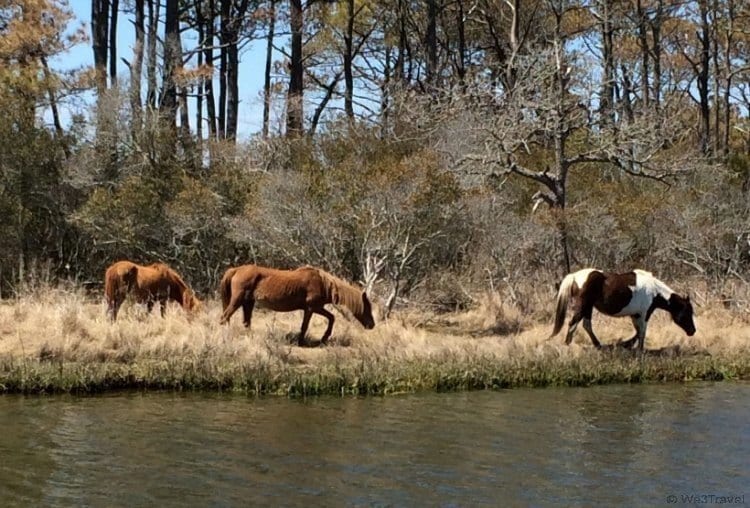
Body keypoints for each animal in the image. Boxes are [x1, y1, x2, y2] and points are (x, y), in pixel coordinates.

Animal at [220, 266, 378, 346]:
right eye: (367, 308)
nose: (372, 325)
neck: (323, 284)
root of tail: (236, 270)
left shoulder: (317, 308)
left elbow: (331, 318)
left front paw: (324, 338)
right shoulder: (311, 308)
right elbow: (305, 326)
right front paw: (301, 341)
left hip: (248, 303)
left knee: (246, 322)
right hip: (237, 301)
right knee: (225, 318)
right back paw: (226, 337)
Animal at [548, 270, 696, 350]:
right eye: (687, 312)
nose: (693, 331)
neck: (654, 291)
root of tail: (574, 276)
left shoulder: (635, 315)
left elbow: (638, 332)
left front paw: (627, 344)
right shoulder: (644, 314)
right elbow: (642, 332)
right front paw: (638, 349)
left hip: (588, 308)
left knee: (586, 325)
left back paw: (598, 345)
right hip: (583, 306)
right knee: (573, 323)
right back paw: (568, 344)